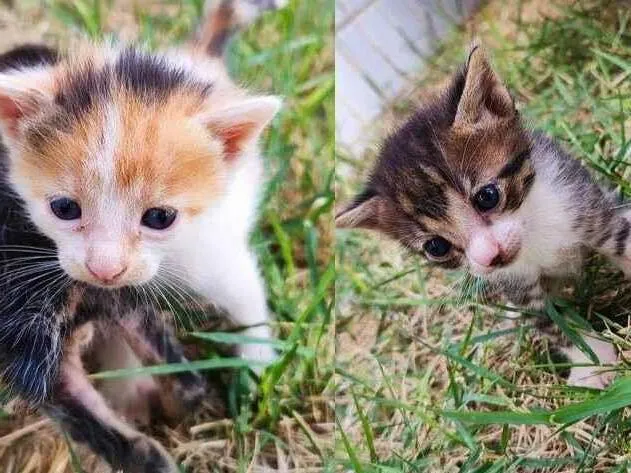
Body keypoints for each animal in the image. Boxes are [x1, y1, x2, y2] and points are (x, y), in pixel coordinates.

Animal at [0, 1, 284, 470]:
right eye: (64, 209)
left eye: (159, 217)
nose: (105, 268)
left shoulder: (208, 255)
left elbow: (244, 302)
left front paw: (256, 369)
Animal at [338, 44, 628, 390]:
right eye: (436, 247)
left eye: (487, 197)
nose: (490, 256)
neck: (531, 229)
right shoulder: (519, 289)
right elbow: (553, 323)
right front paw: (595, 363)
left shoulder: (585, 206)